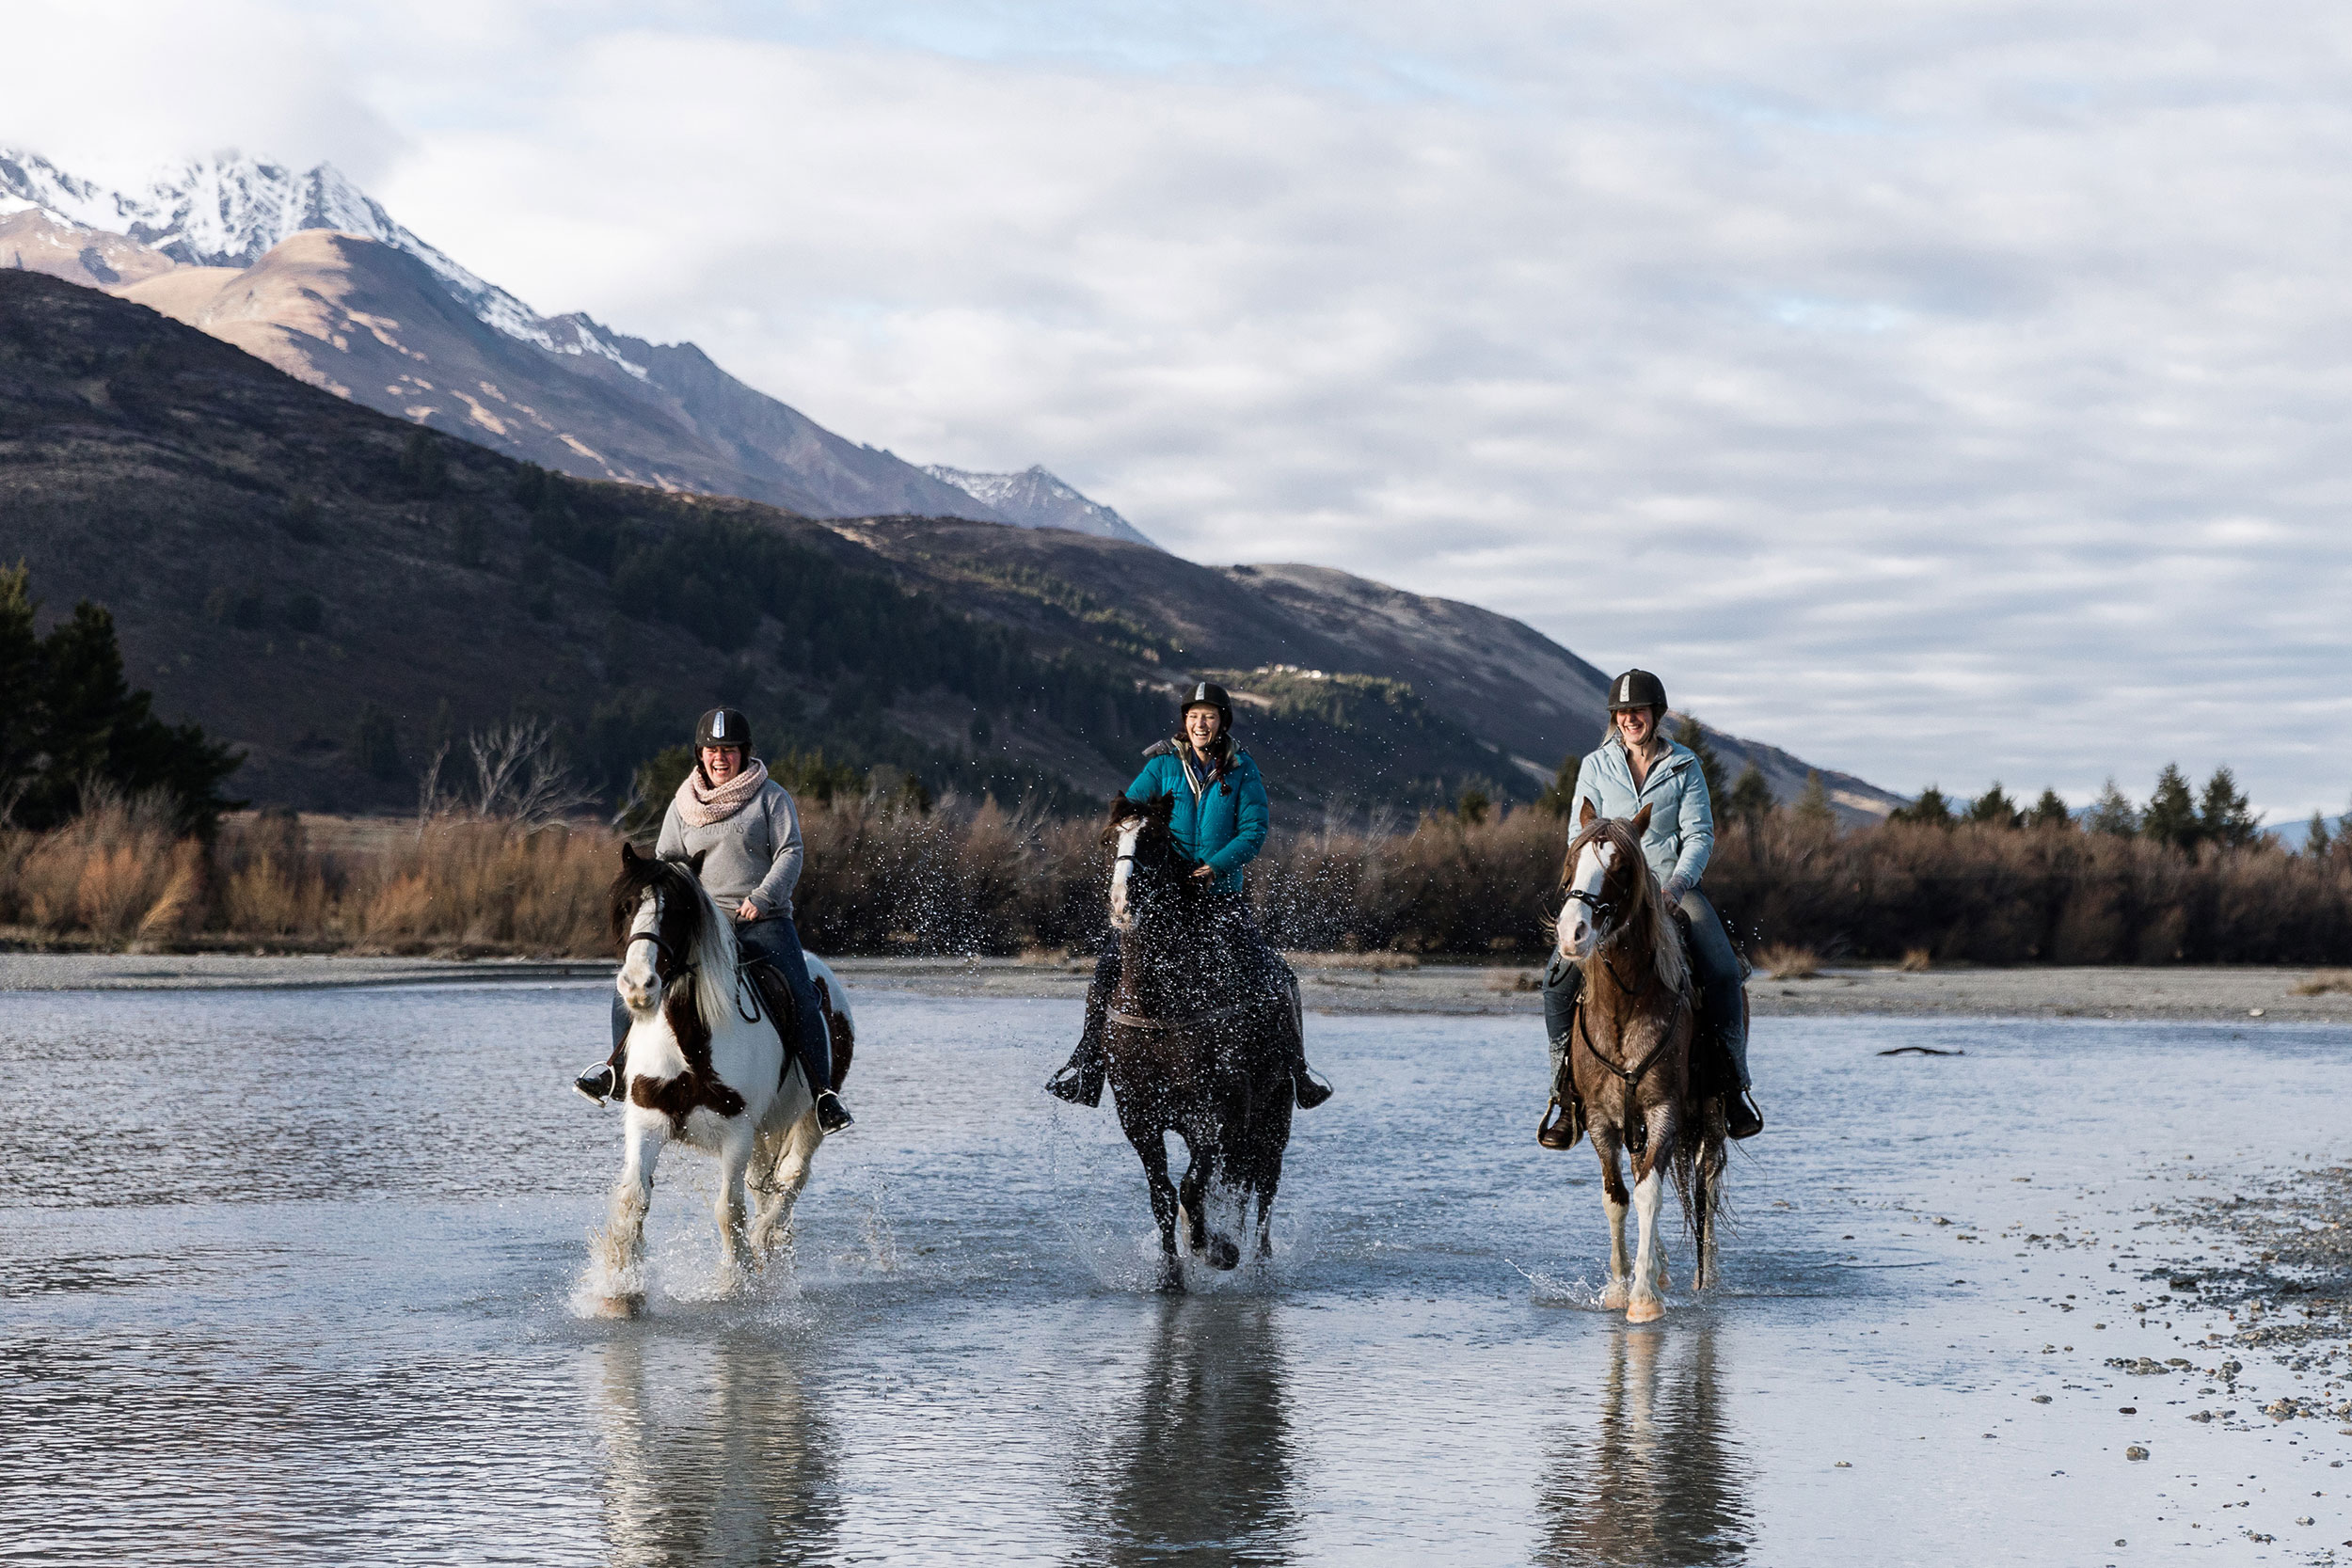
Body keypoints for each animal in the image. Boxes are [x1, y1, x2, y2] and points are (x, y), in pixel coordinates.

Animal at [588, 846, 856, 1316]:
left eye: (679, 912)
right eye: (627, 906)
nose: (638, 986)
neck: (689, 1041)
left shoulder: (736, 1133)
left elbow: (728, 1211)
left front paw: (736, 1284)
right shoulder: (647, 1123)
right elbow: (634, 1199)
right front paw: (622, 1292)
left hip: (808, 1118)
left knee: (790, 1179)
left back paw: (768, 1244)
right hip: (765, 1131)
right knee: (765, 1185)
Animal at [1091, 799, 1298, 1288]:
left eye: (1153, 839)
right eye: (1111, 840)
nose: (1120, 902)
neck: (1160, 1006)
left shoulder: (1215, 1115)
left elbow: (1190, 1188)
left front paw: (1217, 1250)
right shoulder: (1141, 1121)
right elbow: (1165, 1196)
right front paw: (1171, 1274)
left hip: (1274, 1115)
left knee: (1265, 1186)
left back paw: (1258, 1264)